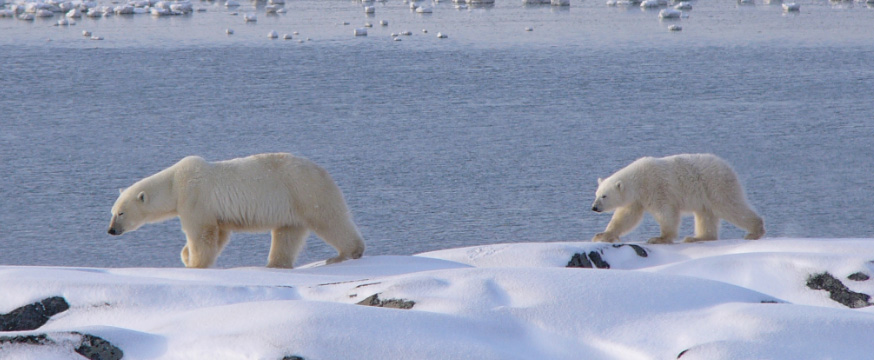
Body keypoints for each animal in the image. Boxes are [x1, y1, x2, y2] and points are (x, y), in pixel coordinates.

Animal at [108, 152, 364, 268]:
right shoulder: (213, 210)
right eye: (112, 211)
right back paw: (274, 264)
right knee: (287, 234)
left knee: (329, 220)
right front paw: (186, 255)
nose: (111, 230)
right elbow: (219, 234)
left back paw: (344, 254)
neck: (174, 183)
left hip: (306, 191)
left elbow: (202, 234)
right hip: (291, 206)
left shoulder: (195, 198)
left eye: (120, 213)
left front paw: (194, 263)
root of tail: (322, 170)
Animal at [584, 153, 764, 243]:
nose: (594, 207)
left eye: (604, 196)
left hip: (715, 186)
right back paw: (697, 237)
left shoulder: (656, 188)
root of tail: (728, 167)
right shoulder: (637, 199)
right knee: (706, 214)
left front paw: (659, 238)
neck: (639, 179)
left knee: (730, 207)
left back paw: (755, 231)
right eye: (596, 194)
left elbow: (666, 213)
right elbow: (625, 217)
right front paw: (602, 235)